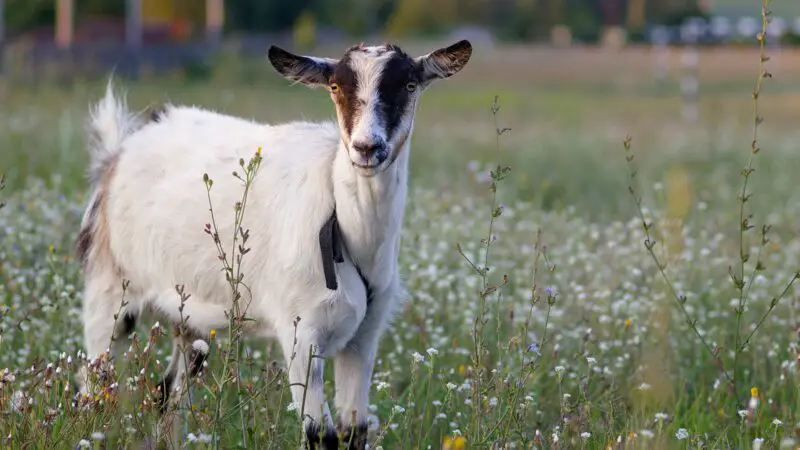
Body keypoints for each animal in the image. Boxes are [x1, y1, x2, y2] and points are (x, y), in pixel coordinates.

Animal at [73, 40, 468, 448]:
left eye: (409, 85)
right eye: (335, 87)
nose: (366, 147)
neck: (348, 232)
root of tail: (119, 150)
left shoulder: (364, 337)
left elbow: (354, 431)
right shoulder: (301, 334)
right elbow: (321, 435)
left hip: (189, 316)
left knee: (167, 396)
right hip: (111, 288)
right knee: (95, 386)